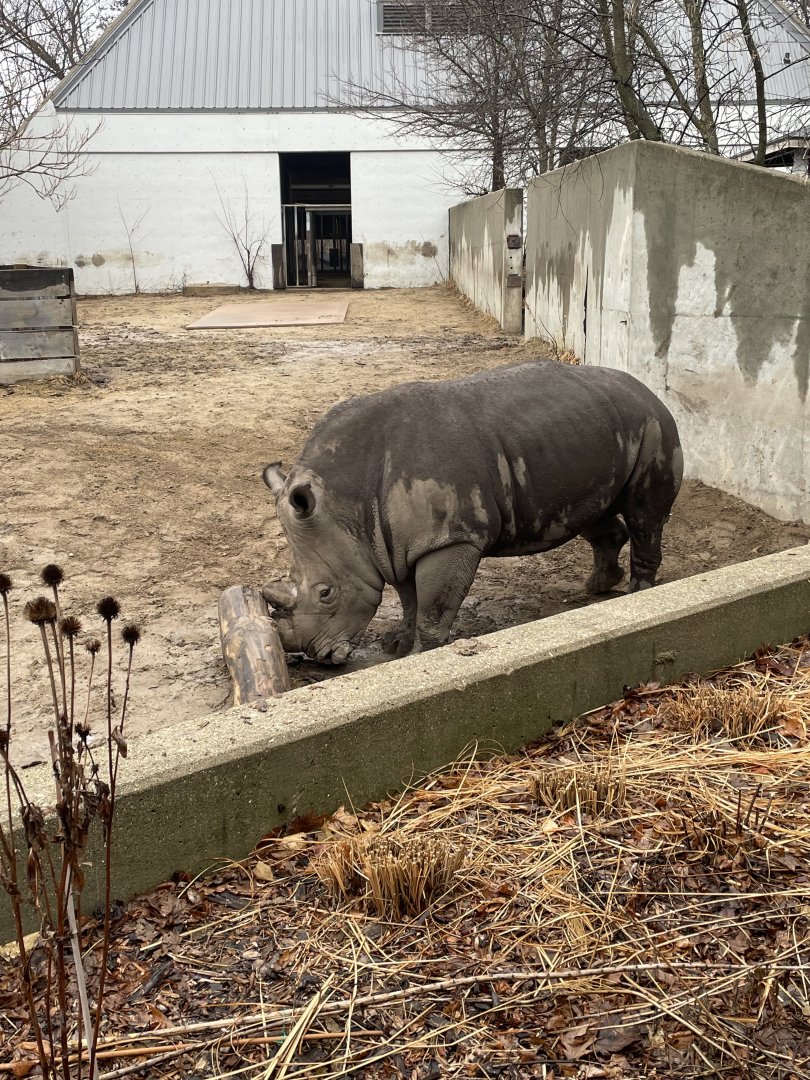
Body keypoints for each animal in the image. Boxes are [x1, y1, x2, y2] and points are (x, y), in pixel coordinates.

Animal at [261, 361, 683, 664]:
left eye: (326, 593)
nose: (314, 655)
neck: (347, 502)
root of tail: (647, 390)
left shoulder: (450, 538)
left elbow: (433, 606)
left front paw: (421, 655)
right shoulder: (393, 545)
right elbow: (409, 597)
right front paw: (396, 645)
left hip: (654, 425)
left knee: (644, 517)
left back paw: (637, 594)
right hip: (596, 430)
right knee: (592, 513)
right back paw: (596, 587)